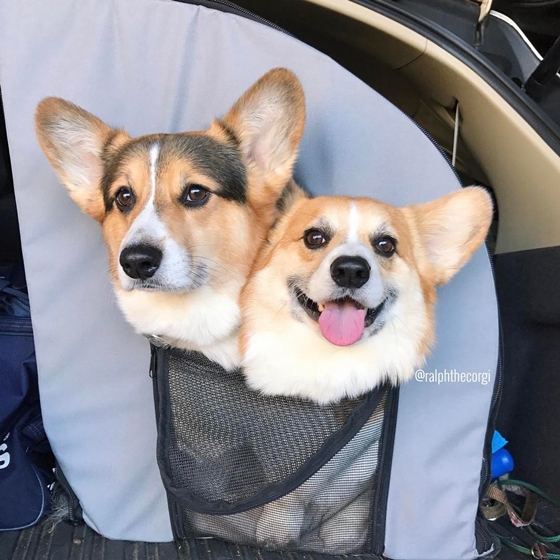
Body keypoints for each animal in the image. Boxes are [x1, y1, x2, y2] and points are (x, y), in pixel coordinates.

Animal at [240, 188, 493, 550]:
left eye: (386, 245)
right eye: (314, 237)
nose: (350, 270)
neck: (333, 360)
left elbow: (339, 495)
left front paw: (341, 533)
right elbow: (287, 492)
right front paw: (277, 529)